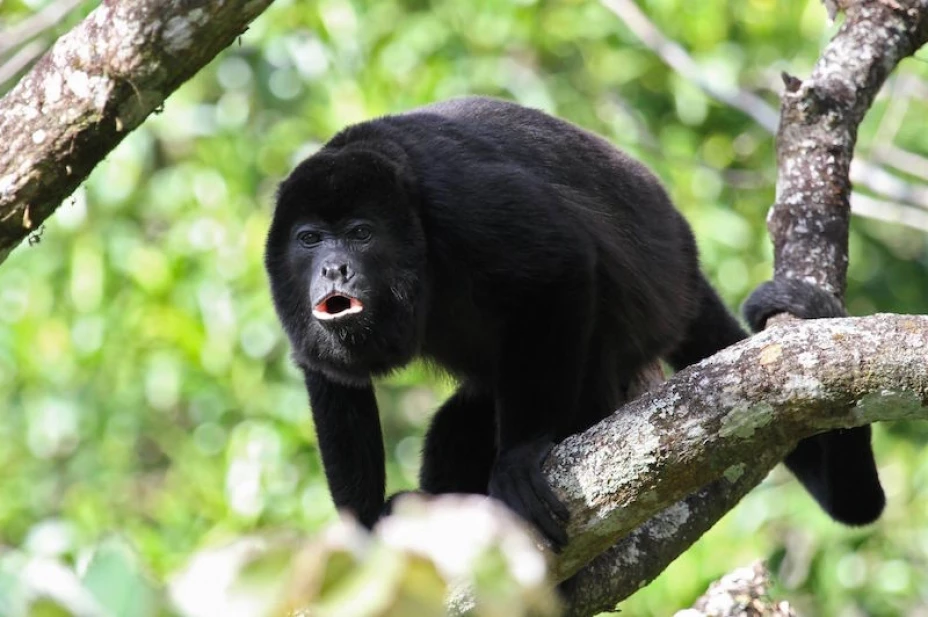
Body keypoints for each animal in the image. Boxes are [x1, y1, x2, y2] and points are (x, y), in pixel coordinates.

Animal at [265, 96, 883, 546]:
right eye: (310, 238)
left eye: (361, 233)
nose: (335, 267)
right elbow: (331, 374)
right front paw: (364, 538)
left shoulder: (458, 201)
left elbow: (558, 263)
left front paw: (519, 457)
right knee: (456, 425)